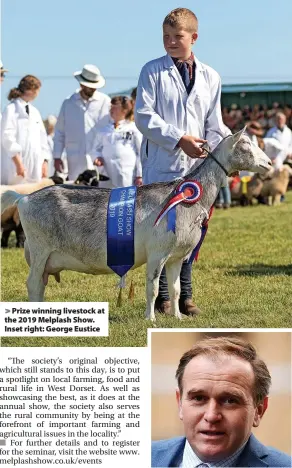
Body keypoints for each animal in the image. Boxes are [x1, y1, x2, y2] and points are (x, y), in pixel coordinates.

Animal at [0, 128, 272, 320]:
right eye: (245, 144)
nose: (269, 164)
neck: (185, 199)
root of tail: (23, 198)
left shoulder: (176, 256)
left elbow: (174, 288)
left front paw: (178, 317)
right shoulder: (157, 253)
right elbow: (153, 287)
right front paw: (150, 318)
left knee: (40, 285)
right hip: (40, 249)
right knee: (33, 284)